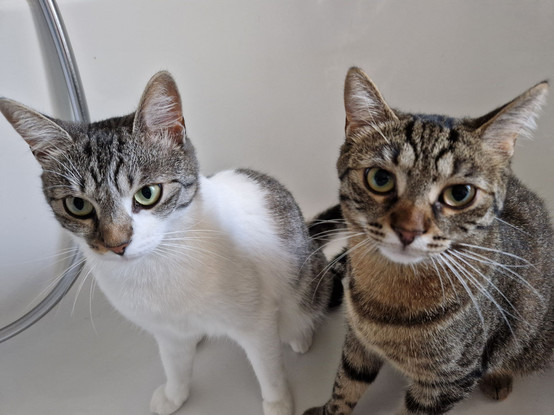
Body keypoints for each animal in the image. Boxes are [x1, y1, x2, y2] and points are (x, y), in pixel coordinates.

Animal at [0, 72, 340, 415]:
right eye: (78, 205)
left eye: (147, 194)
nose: (117, 244)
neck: (159, 263)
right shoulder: (166, 332)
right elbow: (175, 365)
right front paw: (174, 395)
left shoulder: (256, 324)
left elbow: (268, 368)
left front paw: (277, 402)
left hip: (303, 283)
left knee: (301, 311)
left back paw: (301, 336)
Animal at [304, 66, 548, 414]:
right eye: (380, 179)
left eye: (460, 193)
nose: (409, 230)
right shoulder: (357, 341)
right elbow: (345, 384)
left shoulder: (448, 382)